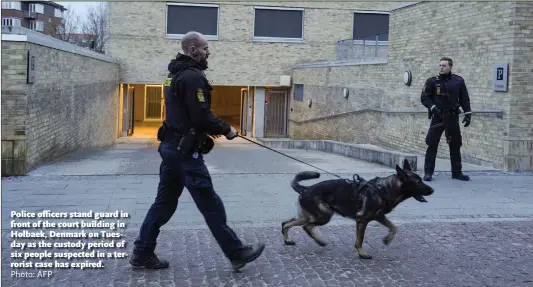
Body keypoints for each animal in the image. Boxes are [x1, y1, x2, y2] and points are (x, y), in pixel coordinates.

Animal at [280, 160, 434, 260]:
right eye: (418, 182)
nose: (432, 190)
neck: (384, 189)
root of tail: (306, 189)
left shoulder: (379, 217)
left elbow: (394, 227)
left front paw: (387, 239)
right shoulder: (362, 220)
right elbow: (359, 240)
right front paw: (362, 253)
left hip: (310, 216)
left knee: (286, 224)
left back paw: (291, 240)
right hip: (323, 216)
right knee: (305, 227)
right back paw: (318, 241)